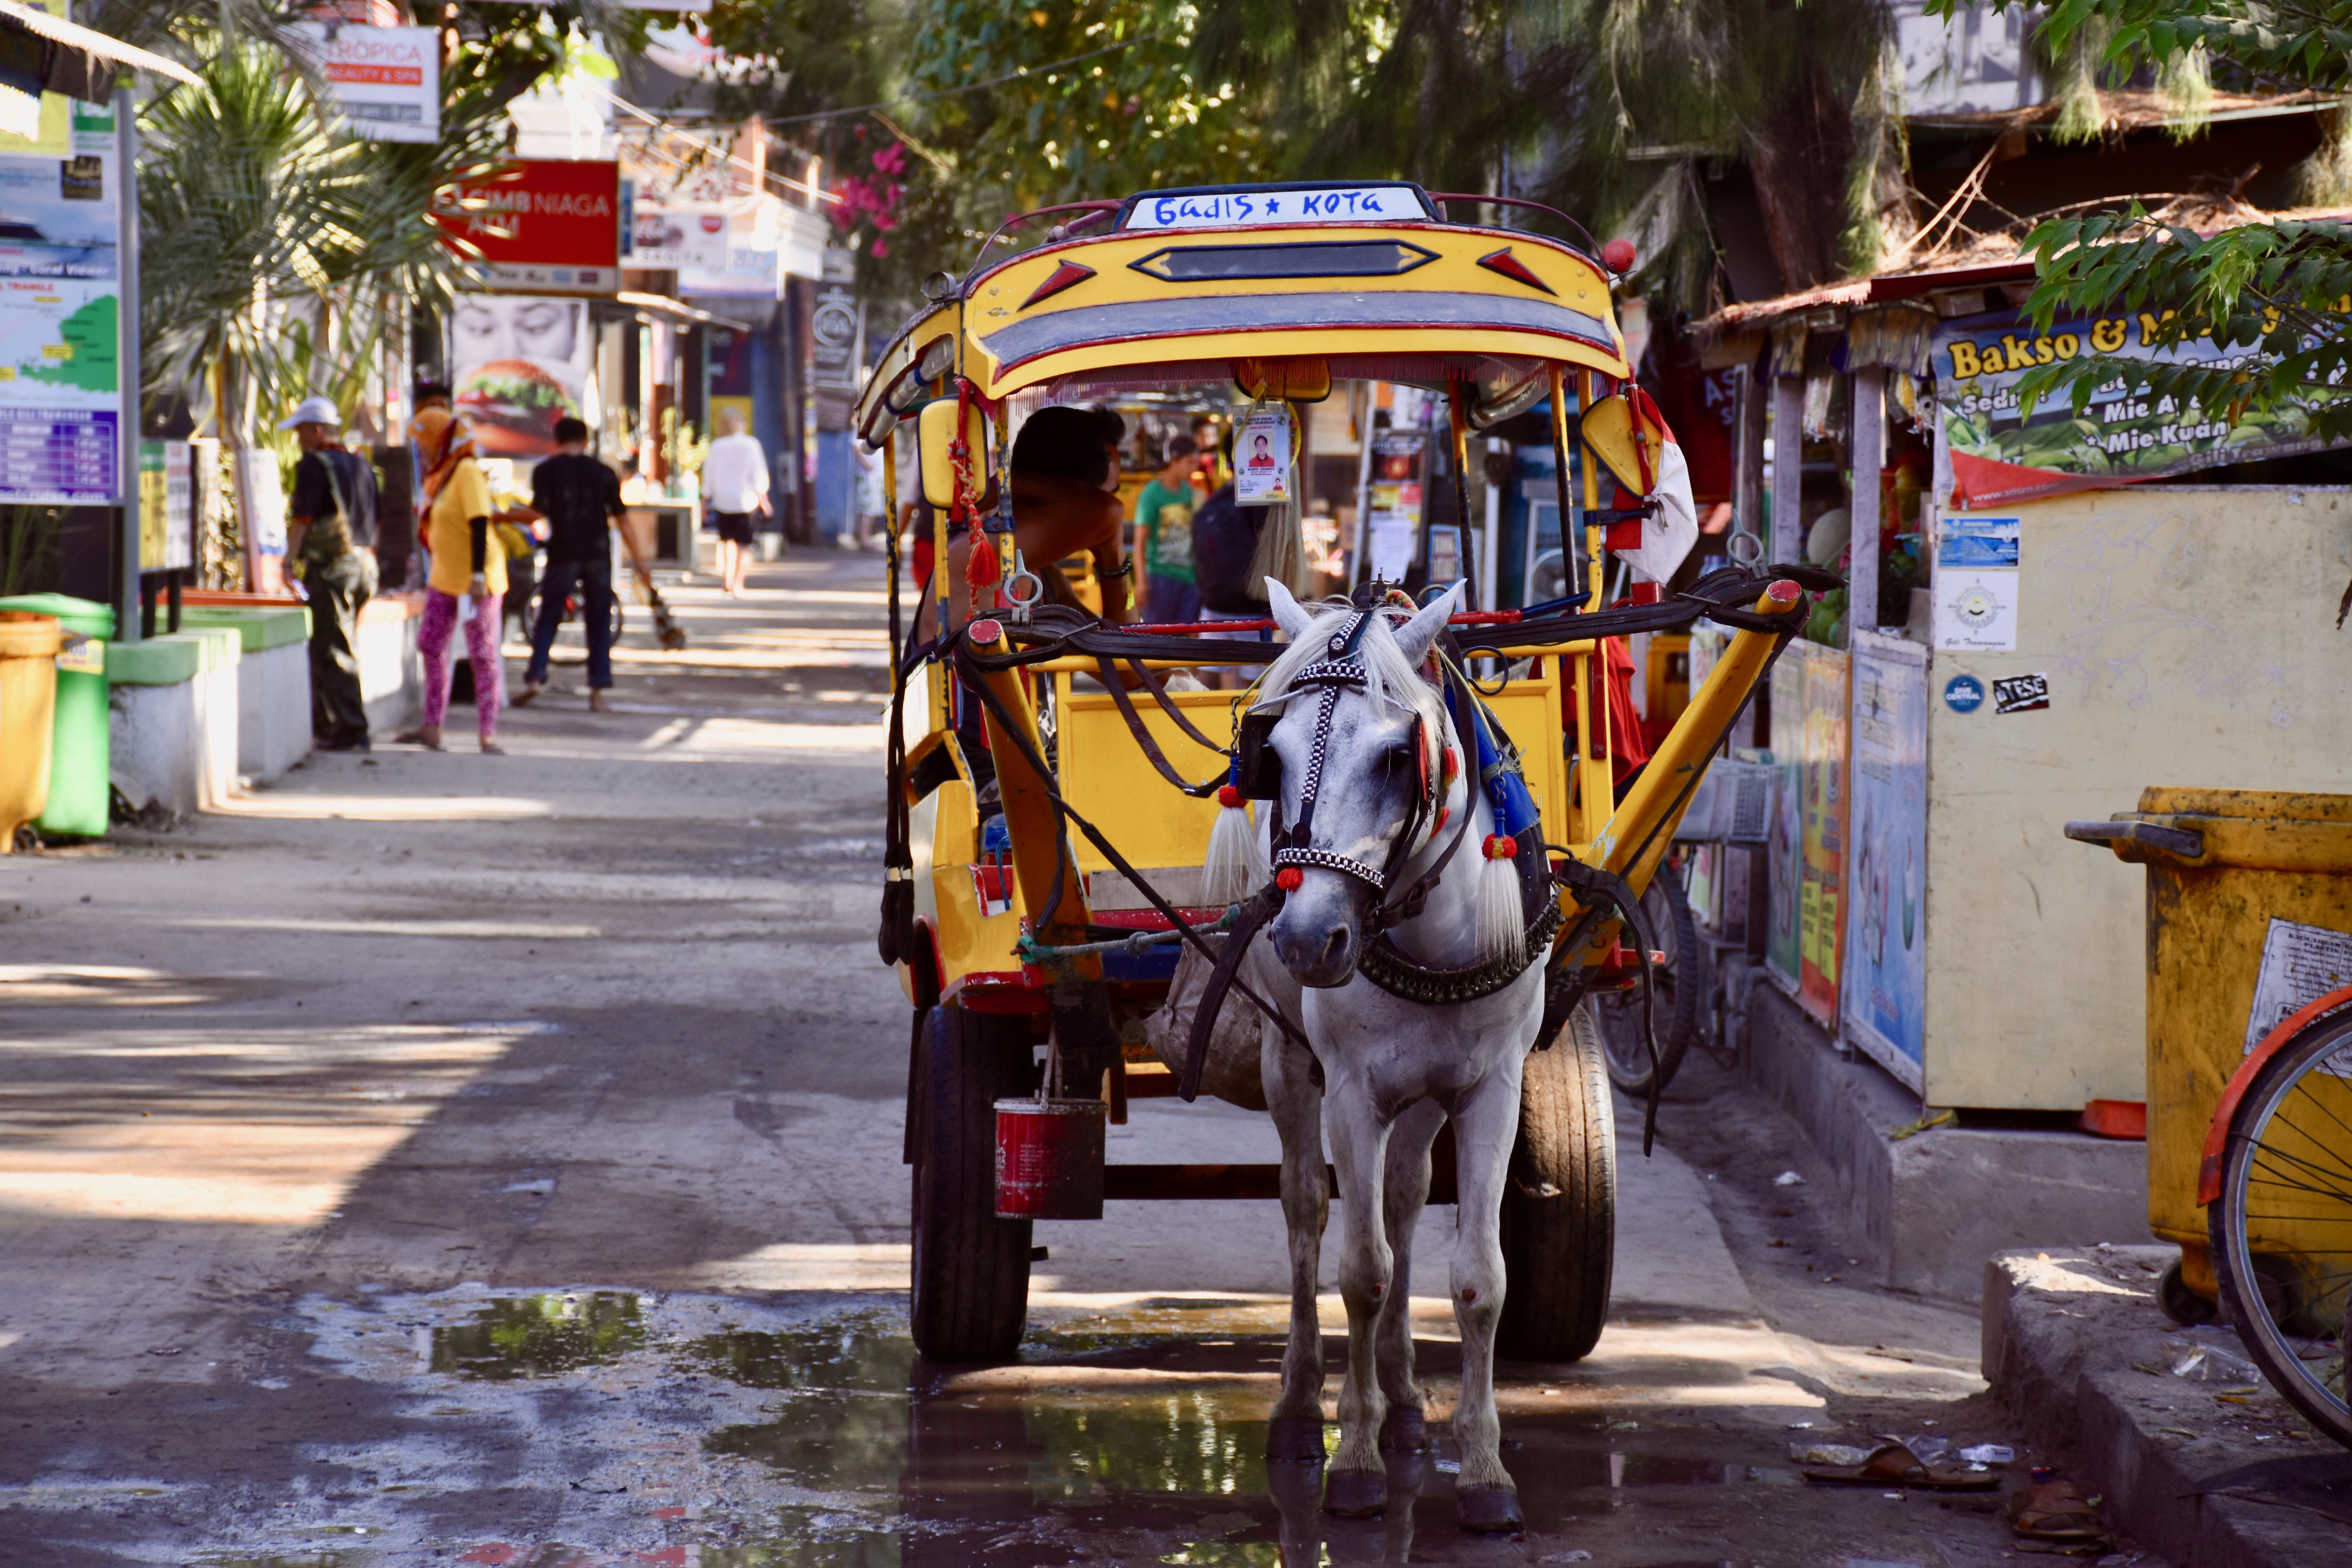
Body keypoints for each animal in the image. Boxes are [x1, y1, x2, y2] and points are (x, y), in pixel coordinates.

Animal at [1242, 581, 1552, 1533]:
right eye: (1268, 753)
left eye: (1393, 759)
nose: (1310, 939)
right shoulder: (1351, 1090)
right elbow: (1361, 1269)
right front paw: (1355, 1456)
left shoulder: (1493, 1088)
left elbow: (1479, 1277)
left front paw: (1485, 1469)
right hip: (1289, 1063)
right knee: (1306, 1210)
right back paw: (1301, 1406)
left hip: (1421, 1094)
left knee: (1409, 1198)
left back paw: (1409, 1396)